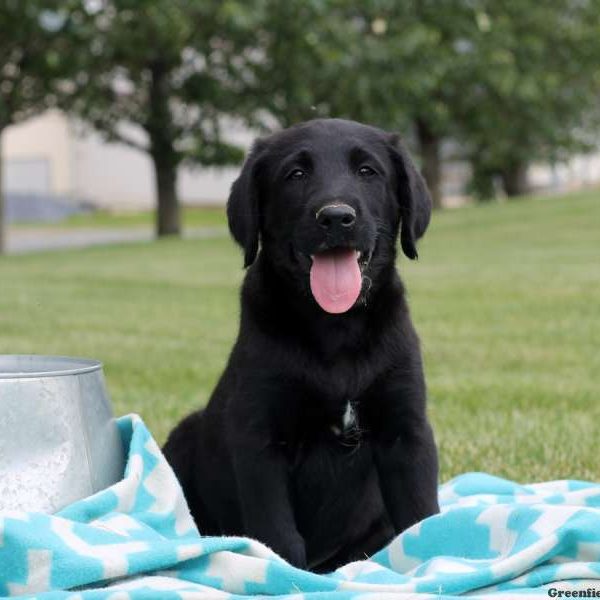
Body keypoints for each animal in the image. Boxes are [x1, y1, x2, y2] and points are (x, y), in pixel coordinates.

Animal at [164, 117, 440, 572]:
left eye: (368, 171)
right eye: (295, 174)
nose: (336, 217)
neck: (334, 328)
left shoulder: (406, 432)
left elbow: (420, 515)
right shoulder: (260, 439)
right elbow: (277, 531)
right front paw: (284, 577)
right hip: (185, 433)